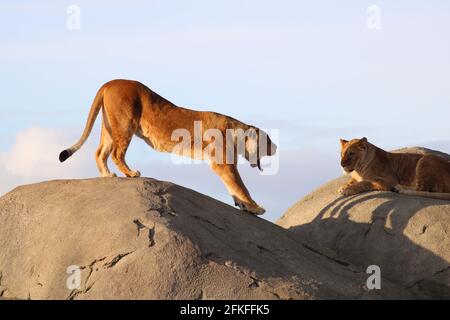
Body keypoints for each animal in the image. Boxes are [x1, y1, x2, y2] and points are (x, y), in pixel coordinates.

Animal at [58, 79, 276, 215]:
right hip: (125, 123)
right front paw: (256, 208)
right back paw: (131, 174)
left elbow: (234, 188)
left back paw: (107, 175)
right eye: (268, 140)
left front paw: (243, 206)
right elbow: (240, 186)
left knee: (100, 152)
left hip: (110, 126)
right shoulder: (223, 164)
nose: (275, 147)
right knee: (116, 153)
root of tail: (109, 83)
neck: (237, 132)